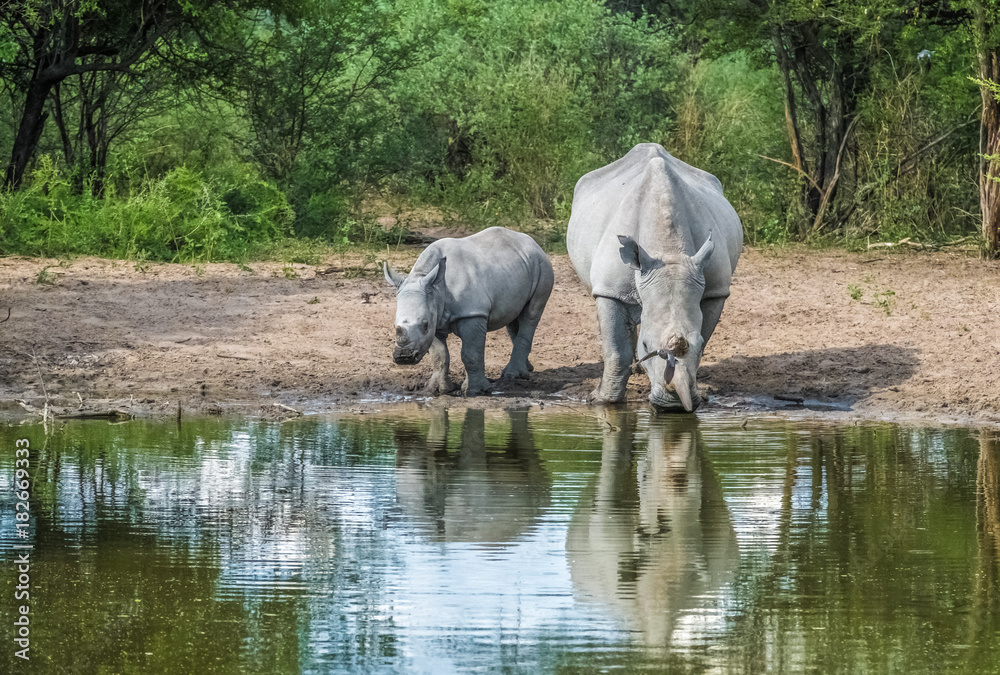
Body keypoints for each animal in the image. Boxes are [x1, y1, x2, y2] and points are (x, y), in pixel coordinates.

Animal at [383, 227, 554, 396]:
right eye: (394, 325)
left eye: (425, 325)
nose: (403, 357)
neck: (436, 288)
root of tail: (532, 242)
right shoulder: (435, 318)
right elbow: (439, 356)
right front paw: (437, 390)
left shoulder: (472, 313)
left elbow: (471, 353)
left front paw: (475, 391)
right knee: (513, 318)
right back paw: (527, 369)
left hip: (542, 265)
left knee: (530, 315)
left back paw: (513, 375)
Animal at [567, 143, 742, 411]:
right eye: (647, 345)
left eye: (699, 344)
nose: (674, 406)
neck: (668, 252)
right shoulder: (609, 290)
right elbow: (616, 350)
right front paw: (601, 400)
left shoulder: (715, 290)